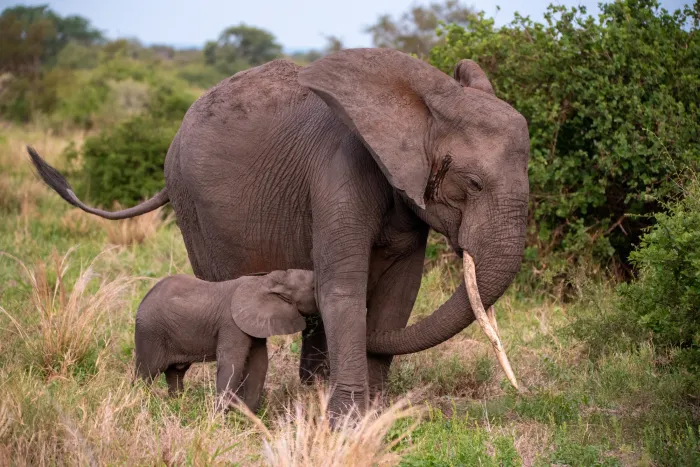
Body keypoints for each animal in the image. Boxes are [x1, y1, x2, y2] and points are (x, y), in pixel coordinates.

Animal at [134, 269, 317, 412]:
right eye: (313, 288)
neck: (266, 279)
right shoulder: (231, 324)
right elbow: (232, 364)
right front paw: (218, 418)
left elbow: (259, 364)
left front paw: (247, 417)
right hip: (150, 333)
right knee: (146, 373)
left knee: (175, 373)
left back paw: (177, 405)